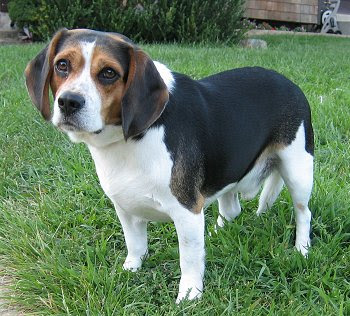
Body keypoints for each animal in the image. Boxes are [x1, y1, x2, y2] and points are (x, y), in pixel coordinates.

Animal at [25, 28, 314, 302]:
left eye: (108, 73)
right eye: (62, 65)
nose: (68, 102)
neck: (130, 139)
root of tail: (290, 83)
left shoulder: (187, 212)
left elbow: (189, 257)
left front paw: (189, 294)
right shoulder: (124, 207)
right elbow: (135, 244)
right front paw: (130, 270)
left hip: (298, 171)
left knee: (304, 213)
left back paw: (301, 249)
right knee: (231, 210)